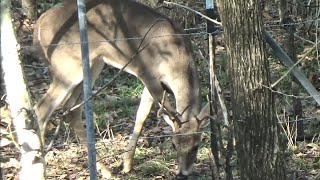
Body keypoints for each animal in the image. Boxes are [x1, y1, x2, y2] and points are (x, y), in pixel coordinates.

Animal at [33, 0, 210, 178]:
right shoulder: (145, 72)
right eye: (173, 144)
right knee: (42, 108)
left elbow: (142, 114)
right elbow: (146, 112)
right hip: (68, 66)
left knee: (71, 109)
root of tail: (38, 24)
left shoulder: (156, 82)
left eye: (197, 145)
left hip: (92, 65)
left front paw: (127, 164)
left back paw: (105, 170)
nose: (183, 173)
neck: (177, 58)